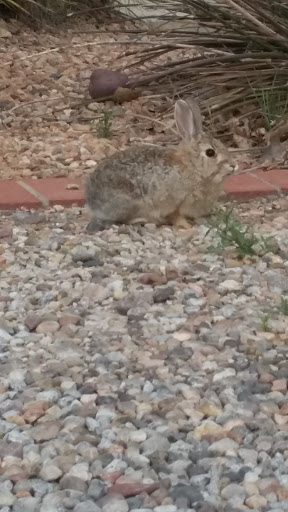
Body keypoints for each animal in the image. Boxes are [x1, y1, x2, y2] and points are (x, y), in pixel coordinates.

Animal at [84, 96, 235, 232]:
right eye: (210, 152)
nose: (233, 165)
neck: (192, 167)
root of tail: (92, 201)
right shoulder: (175, 203)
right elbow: (176, 216)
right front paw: (187, 226)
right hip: (132, 203)